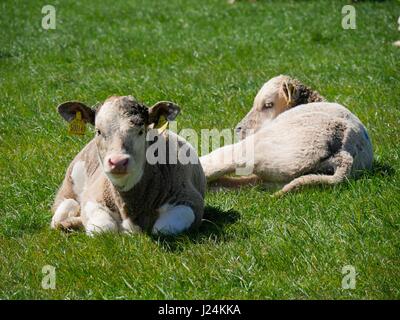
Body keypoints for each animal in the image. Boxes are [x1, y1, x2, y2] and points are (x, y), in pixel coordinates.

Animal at [50, 95, 206, 235]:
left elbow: (162, 229)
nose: (118, 161)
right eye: (98, 131)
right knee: (63, 206)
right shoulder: (92, 197)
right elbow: (103, 229)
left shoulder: (190, 201)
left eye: (141, 131)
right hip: (70, 182)